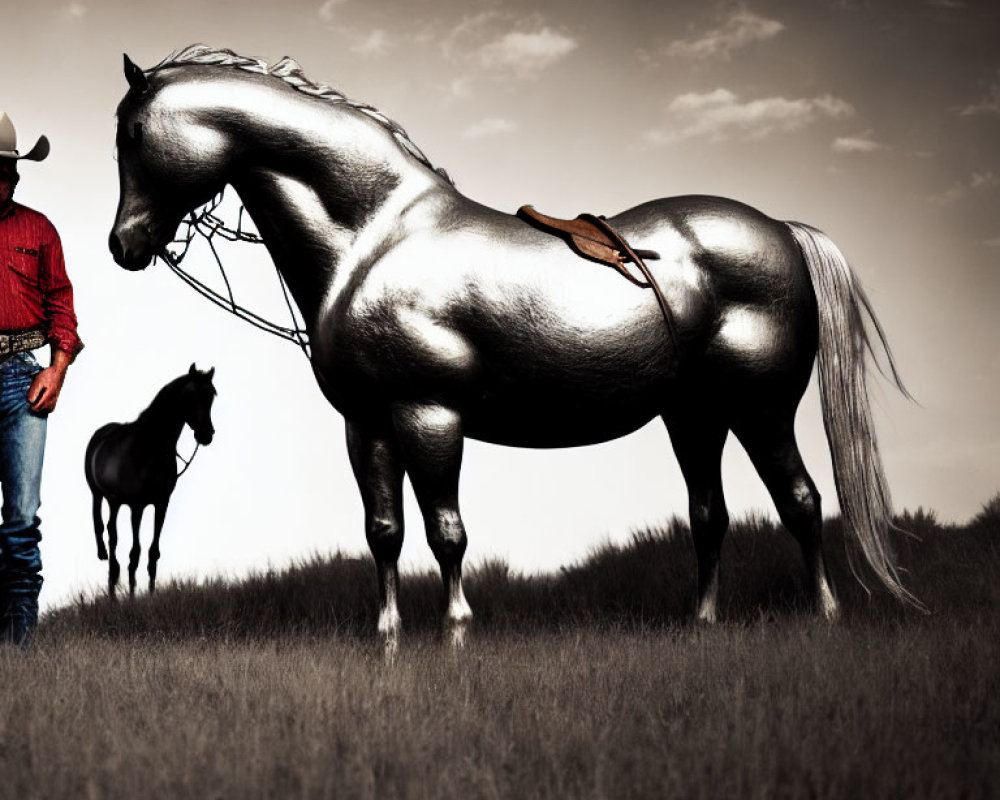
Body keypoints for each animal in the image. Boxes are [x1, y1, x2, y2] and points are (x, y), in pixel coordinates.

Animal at [111, 47, 920, 648]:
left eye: (135, 135)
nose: (125, 245)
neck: (376, 237)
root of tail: (780, 229)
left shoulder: (429, 416)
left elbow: (446, 533)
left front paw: (457, 635)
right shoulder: (367, 424)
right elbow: (383, 532)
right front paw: (387, 640)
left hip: (761, 408)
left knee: (801, 500)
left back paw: (825, 616)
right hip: (693, 416)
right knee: (709, 515)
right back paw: (703, 624)